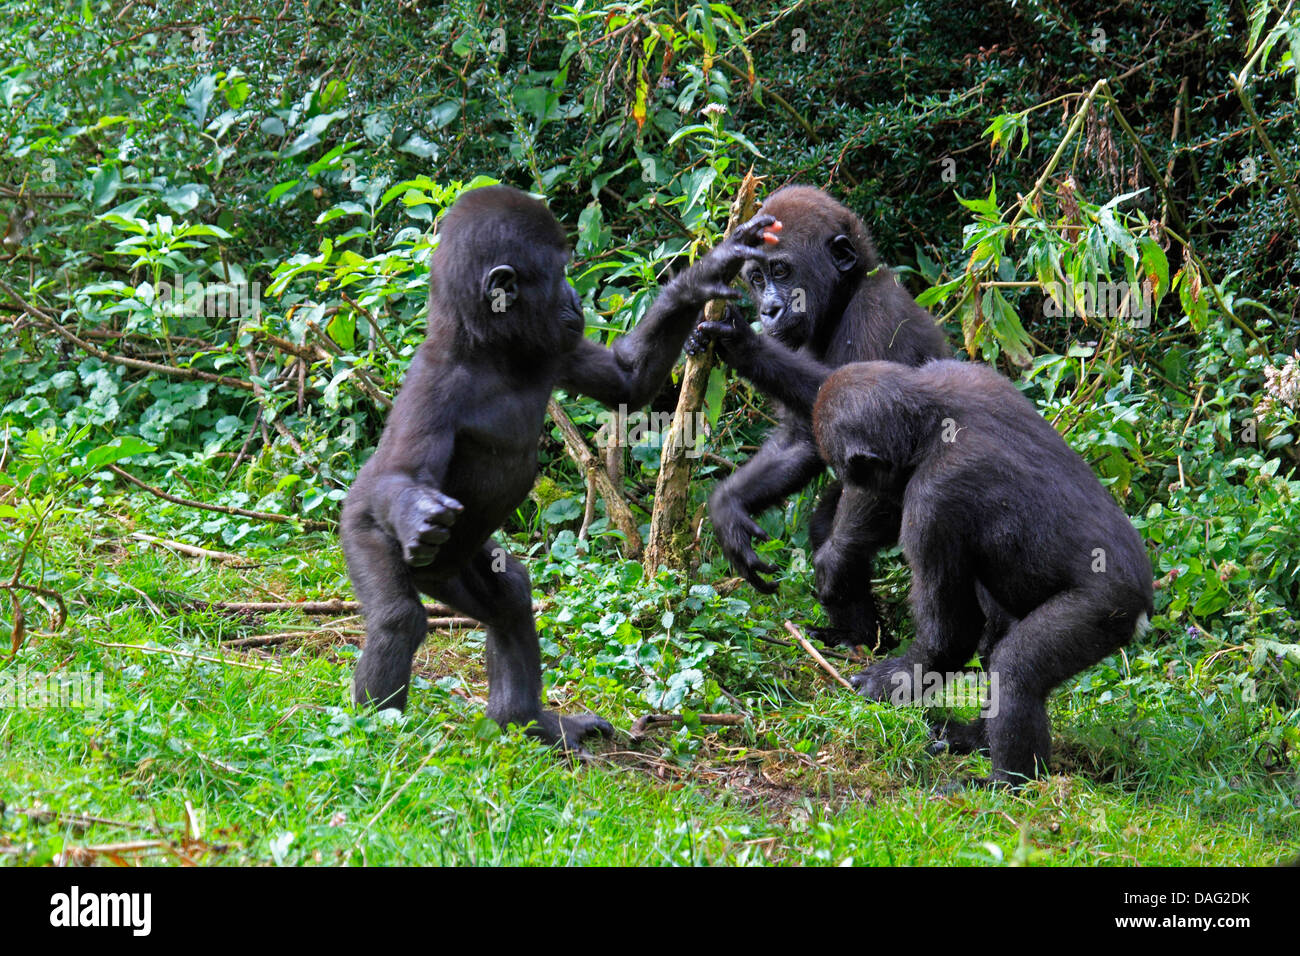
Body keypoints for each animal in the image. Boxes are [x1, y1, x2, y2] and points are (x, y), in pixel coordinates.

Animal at [340, 180, 774, 749]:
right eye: (559, 273)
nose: (574, 297)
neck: (490, 350)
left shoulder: (553, 346)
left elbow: (629, 380)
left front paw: (705, 273)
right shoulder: (439, 383)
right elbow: (403, 475)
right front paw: (418, 511)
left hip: (454, 567)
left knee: (508, 595)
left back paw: (523, 719)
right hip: (360, 527)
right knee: (397, 617)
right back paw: (376, 734)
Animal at [686, 184, 951, 650]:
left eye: (781, 270)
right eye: (757, 279)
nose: (769, 311)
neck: (845, 295)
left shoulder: (876, 317)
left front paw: (742, 342)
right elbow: (803, 438)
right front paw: (727, 507)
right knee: (825, 521)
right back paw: (854, 633)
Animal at [816, 358, 1154, 785]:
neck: (930, 422)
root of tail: (1144, 606)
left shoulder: (932, 502)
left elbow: (950, 635)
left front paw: (888, 679)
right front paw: (838, 558)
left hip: (1106, 609)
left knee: (1016, 670)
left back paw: (1007, 781)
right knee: (996, 650)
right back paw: (974, 738)